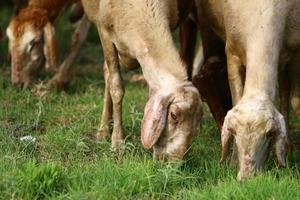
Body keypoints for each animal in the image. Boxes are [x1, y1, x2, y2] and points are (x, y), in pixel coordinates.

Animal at [81, 0, 203, 160]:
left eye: (197, 124)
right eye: (174, 115)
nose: (173, 162)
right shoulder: (105, 33)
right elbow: (116, 87)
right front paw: (118, 142)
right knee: (107, 74)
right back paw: (104, 130)